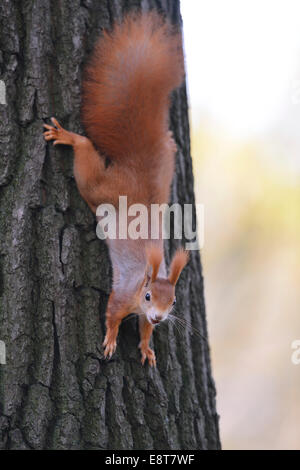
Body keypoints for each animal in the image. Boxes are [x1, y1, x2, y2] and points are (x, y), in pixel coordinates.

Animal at [42, 10, 188, 364]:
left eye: (174, 301)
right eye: (147, 295)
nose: (160, 317)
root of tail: (136, 173)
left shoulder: (146, 318)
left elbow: (145, 330)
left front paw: (147, 347)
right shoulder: (122, 296)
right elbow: (110, 314)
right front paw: (109, 340)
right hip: (98, 188)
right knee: (85, 157)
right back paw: (68, 137)